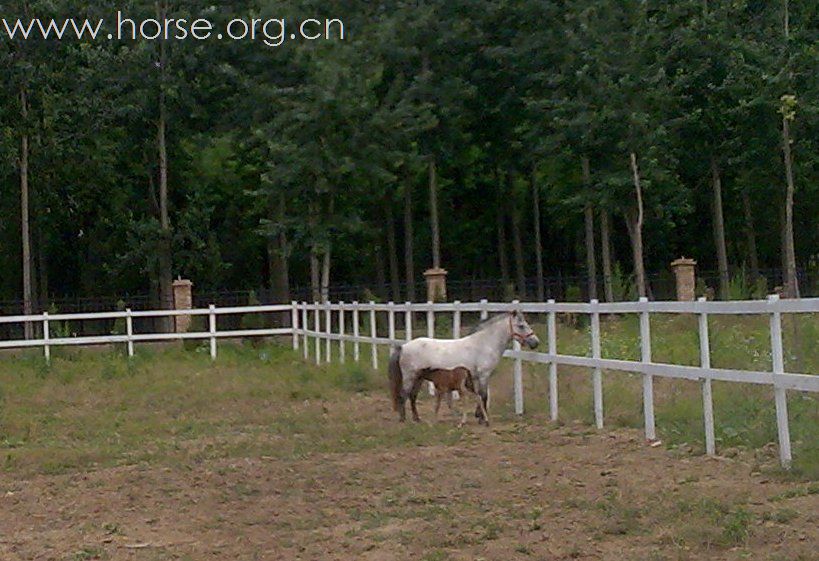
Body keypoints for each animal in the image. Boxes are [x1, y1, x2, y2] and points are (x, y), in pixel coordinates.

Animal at [390, 308, 540, 422]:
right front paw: (483, 419)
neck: (483, 344)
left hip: (419, 378)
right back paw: (403, 420)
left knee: (412, 396)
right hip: (410, 377)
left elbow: (479, 395)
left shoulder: (476, 377)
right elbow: (484, 395)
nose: (535, 342)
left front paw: (478, 415)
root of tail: (404, 346)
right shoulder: (484, 375)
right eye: (521, 326)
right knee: (404, 395)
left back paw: (417, 419)